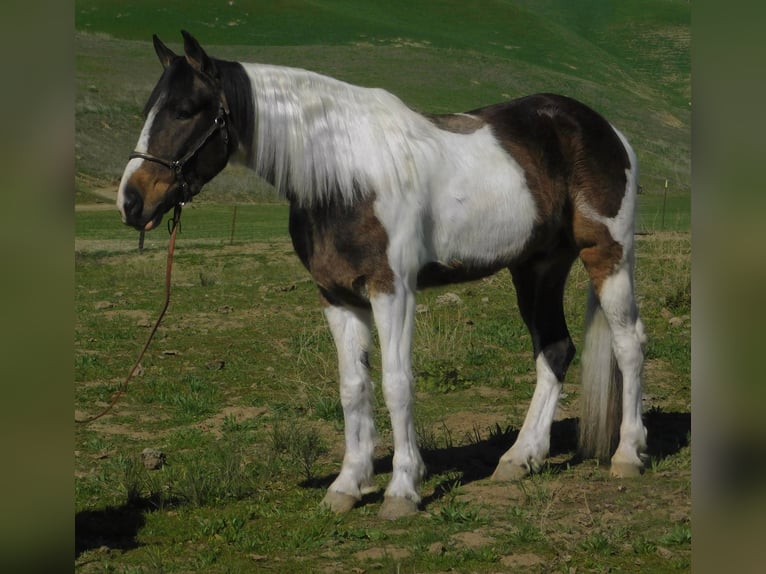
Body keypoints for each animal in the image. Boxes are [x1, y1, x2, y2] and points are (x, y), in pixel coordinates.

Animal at [118, 31, 648, 520]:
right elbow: (353, 387)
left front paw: (402, 490)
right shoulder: (338, 297)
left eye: (187, 110)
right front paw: (347, 485)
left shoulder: (392, 291)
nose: (131, 201)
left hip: (608, 255)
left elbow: (396, 383)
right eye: (150, 109)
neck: (345, 177)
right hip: (537, 268)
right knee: (554, 350)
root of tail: (608, 131)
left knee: (628, 344)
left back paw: (628, 453)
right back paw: (521, 457)